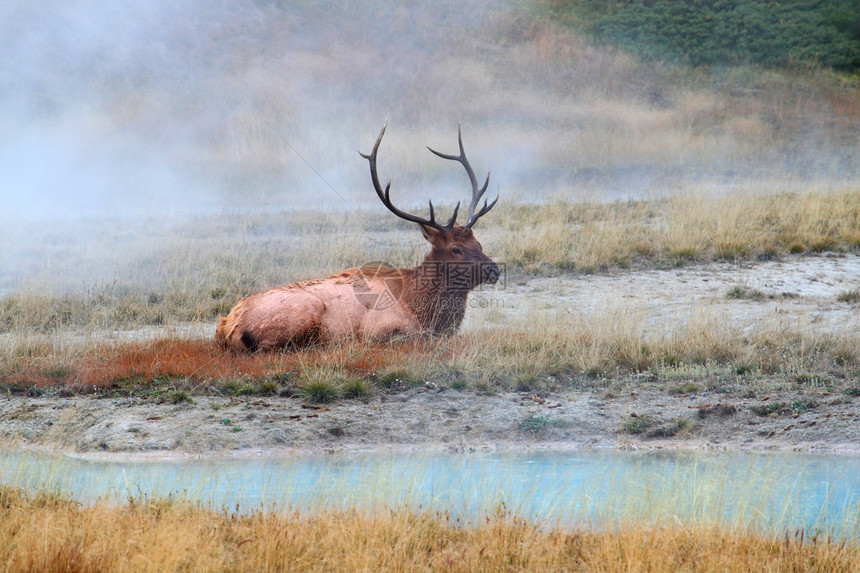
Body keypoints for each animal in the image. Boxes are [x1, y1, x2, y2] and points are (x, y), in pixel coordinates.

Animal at [213, 123, 498, 350]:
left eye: (478, 243)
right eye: (456, 249)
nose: (494, 270)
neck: (420, 307)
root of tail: (227, 327)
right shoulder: (380, 327)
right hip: (304, 311)